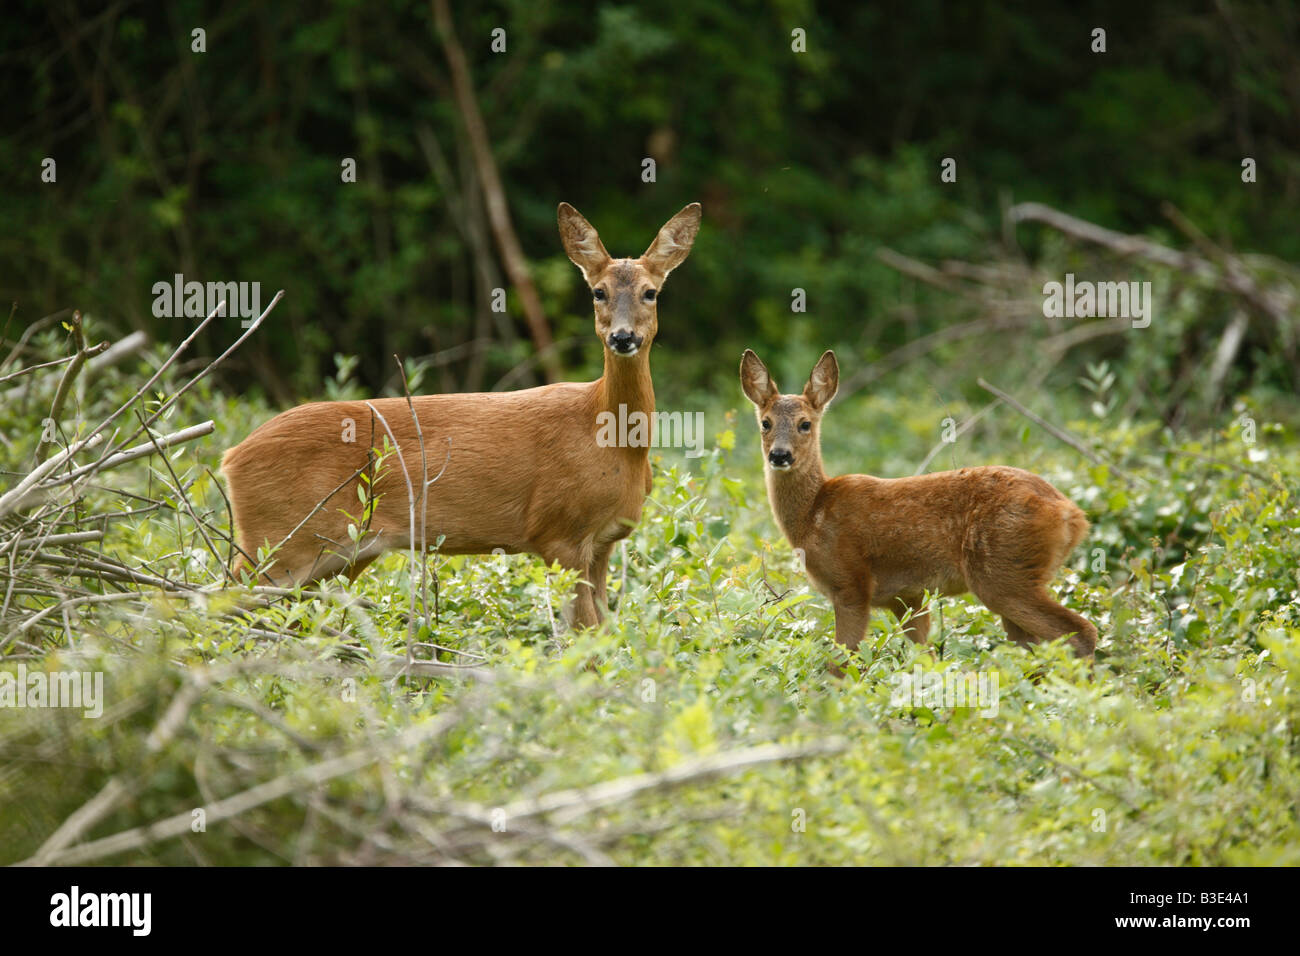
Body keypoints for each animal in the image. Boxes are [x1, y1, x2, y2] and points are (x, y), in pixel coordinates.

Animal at [220, 200, 702, 629]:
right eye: (598, 292)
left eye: (650, 292)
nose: (623, 337)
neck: (608, 437)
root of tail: (230, 456)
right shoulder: (558, 533)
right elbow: (586, 638)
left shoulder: (602, 542)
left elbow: (604, 632)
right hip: (279, 539)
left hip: (343, 552)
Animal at [743, 348, 1097, 671]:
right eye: (765, 423)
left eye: (805, 424)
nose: (780, 455)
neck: (813, 514)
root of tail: (1073, 515)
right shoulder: (908, 597)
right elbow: (924, 656)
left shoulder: (851, 583)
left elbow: (841, 663)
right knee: (1032, 647)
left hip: (1003, 572)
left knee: (1080, 631)